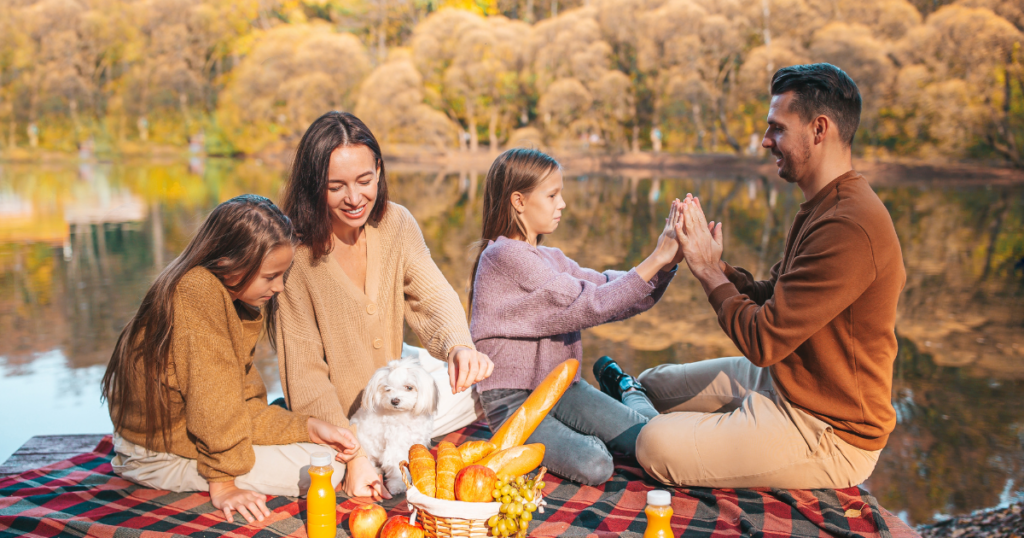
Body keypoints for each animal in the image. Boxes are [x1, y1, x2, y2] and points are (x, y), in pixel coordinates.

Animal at [350, 354, 438, 493]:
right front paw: (398, 485)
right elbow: (396, 465)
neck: (406, 415)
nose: (394, 401)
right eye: (387, 389)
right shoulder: (395, 445)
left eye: (409, 387)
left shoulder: (417, 440)